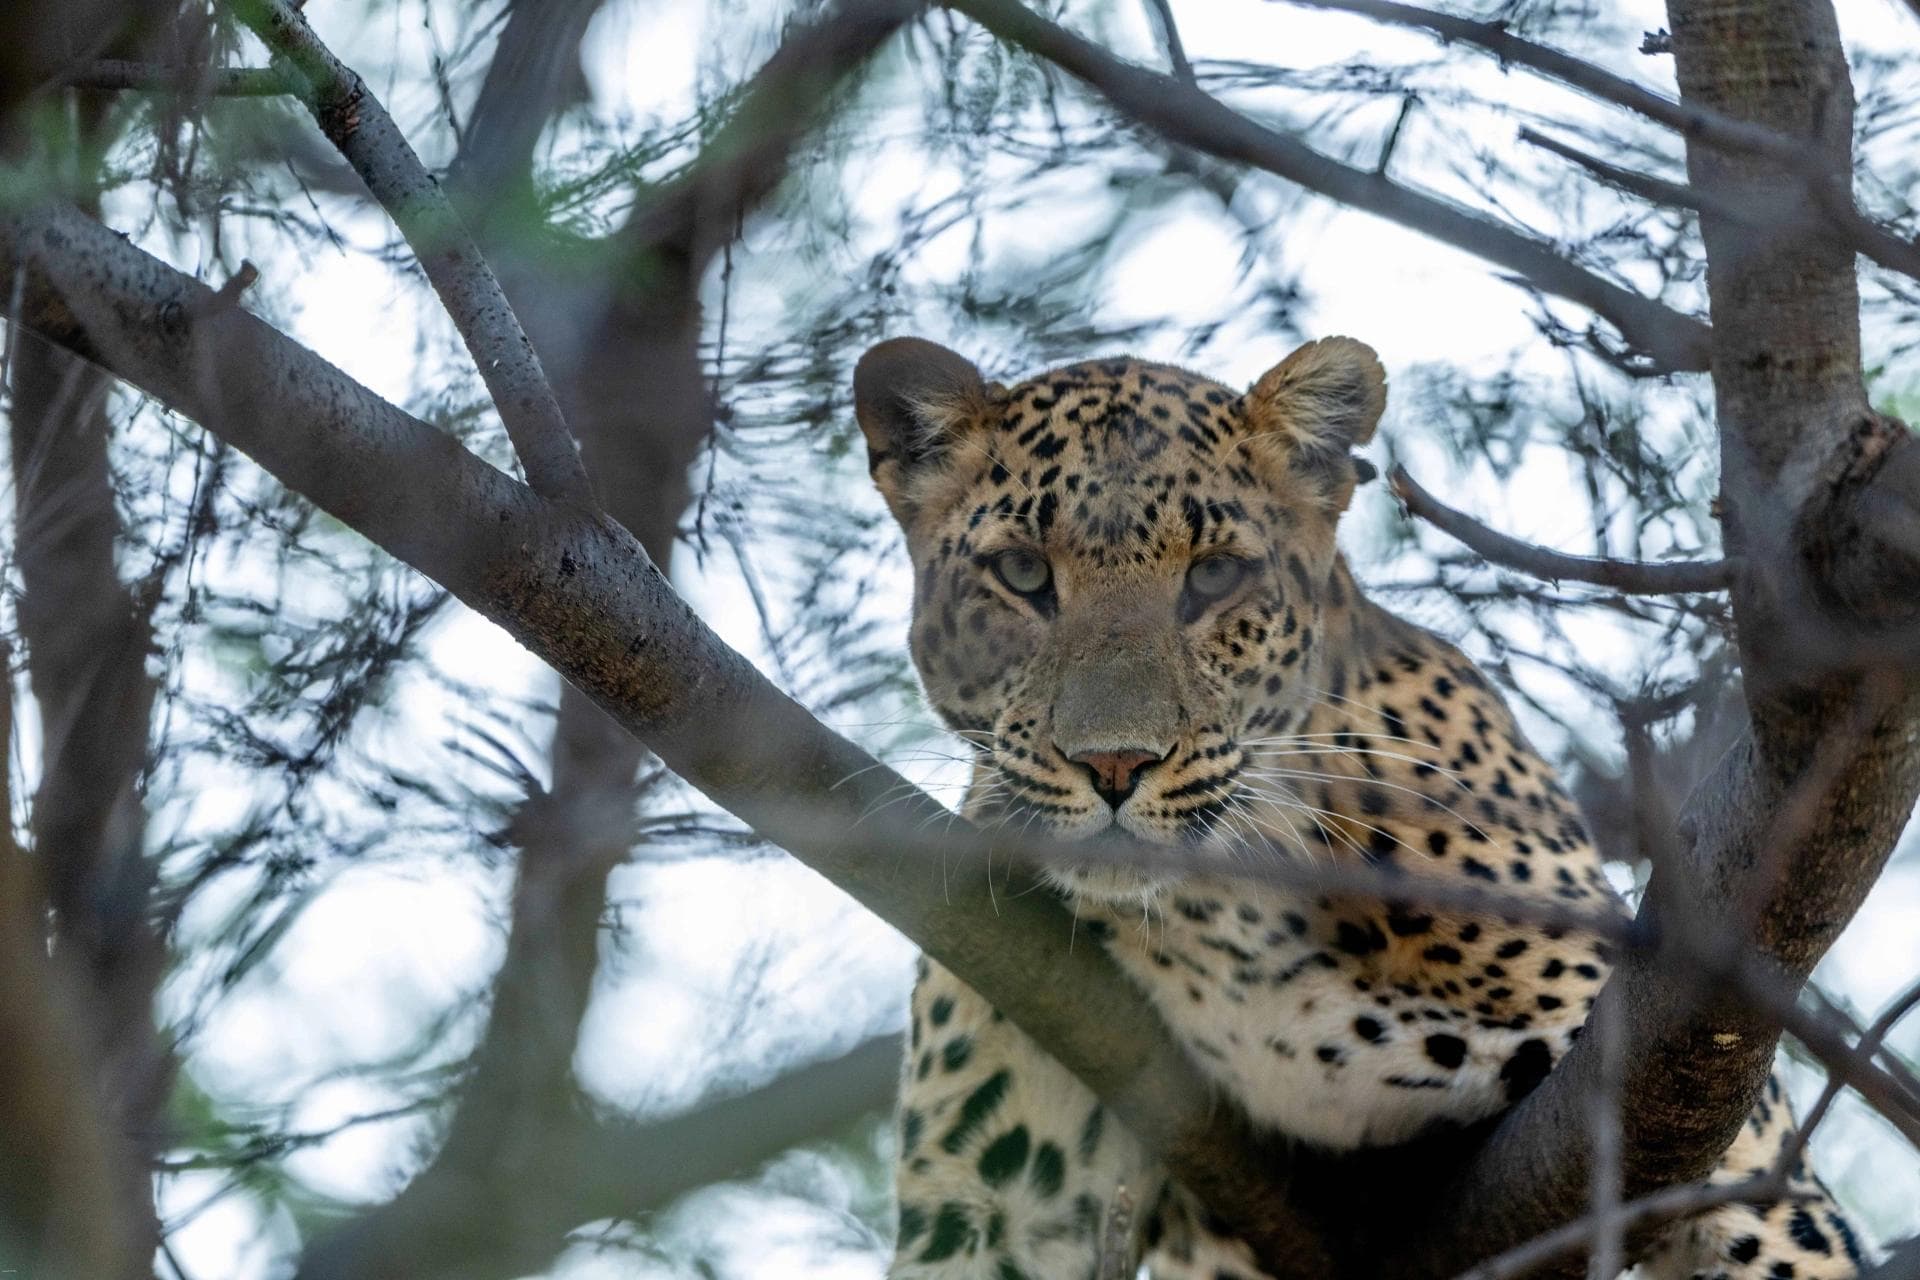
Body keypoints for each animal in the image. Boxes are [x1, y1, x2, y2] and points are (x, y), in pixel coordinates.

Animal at [851, 333, 1865, 1280]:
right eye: (1023, 573)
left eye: (1213, 577)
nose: (1114, 763)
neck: (1217, 930)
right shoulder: (999, 1208)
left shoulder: (1724, 1141)